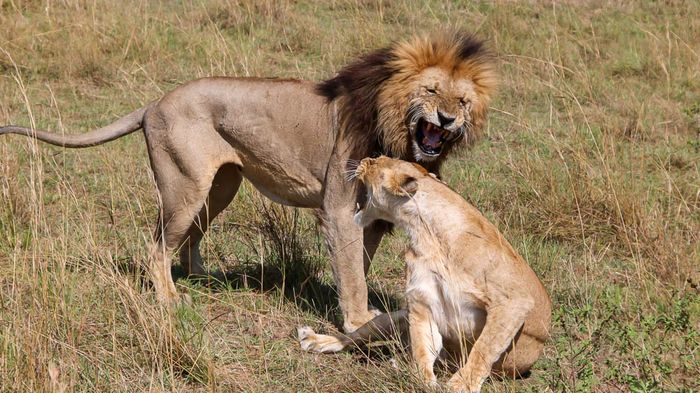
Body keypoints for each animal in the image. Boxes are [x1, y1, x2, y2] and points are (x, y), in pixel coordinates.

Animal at [0, 33, 498, 330]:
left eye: (462, 100)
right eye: (430, 91)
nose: (447, 119)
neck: (395, 130)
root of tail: (153, 103)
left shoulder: (373, 219)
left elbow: (358, 263)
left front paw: (356, 309)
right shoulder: (339, 208)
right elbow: (353, 269)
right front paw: (357, 322)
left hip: (221, 186)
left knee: (189, 238)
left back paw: (204, 279)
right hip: (184, 188)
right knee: (156, 247)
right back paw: (170, 300)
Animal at [298, 157, 548, 392]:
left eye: (376, 161)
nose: (362, 159)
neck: (427, 235)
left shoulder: (514, 301)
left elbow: (485, 346)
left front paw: (462, 384)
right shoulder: (422, 302)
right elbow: (422, 348)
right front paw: (424, 382)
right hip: (393, 317)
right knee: (355, 336)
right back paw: (315, 340)